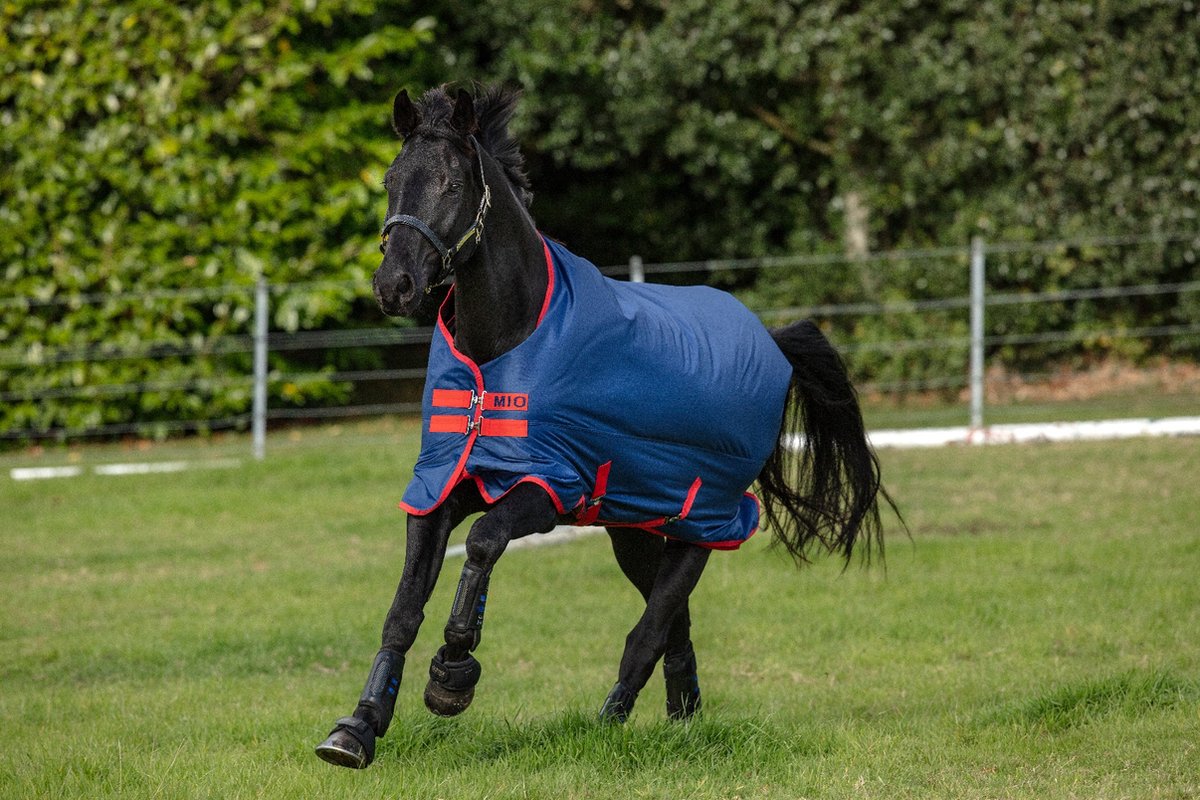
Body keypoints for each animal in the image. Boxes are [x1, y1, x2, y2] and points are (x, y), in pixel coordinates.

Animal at [316, 85, 897, 769]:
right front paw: (357, 728)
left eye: (452, 183)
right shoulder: (440, 485)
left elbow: (483, 542)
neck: (505, 347)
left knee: (650, 629)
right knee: (674, 621)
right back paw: (683, 717)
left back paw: (611, 721)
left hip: (704, 522)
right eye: (391, 180)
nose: (395, 285)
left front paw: (451, 678)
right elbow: (403, 607)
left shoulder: (548, 487)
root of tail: (772, 342)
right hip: (634, 528)